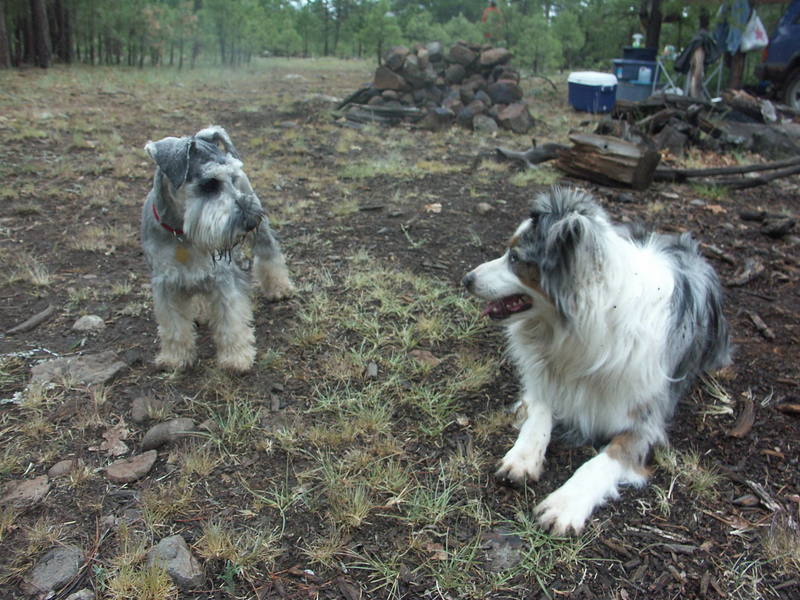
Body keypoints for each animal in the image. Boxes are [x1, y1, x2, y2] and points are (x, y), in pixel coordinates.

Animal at [141, 125, 294, 370]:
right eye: (209, 184)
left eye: (232, 178)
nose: (250, 220)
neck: (182, 233)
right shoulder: (165, 283)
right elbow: (174, 326)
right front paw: (175, 358)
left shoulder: (223, 278)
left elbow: (231, 320)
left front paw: (236, 358)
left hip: (260, 234)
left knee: (269, 253)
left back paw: (279, 287)